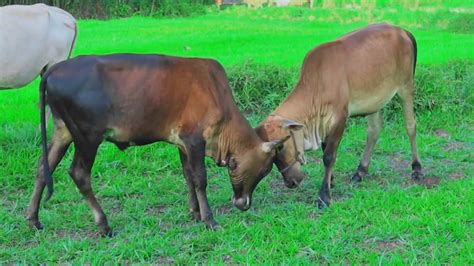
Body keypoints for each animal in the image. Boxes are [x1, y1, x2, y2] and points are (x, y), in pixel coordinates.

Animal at [27, 53, 286, 235]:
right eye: (265, 170)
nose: (244, 204)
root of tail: (55, 68)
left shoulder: (182, 144)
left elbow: (188, 176)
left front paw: (194, 212)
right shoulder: (195, 140)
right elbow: (200, 179)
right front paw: (209, 220)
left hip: (63, 132)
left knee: (43, 168)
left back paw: (33, 219)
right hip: (87, 137)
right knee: (79, 174)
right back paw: (104, 225)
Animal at [258, 23, 424, 208]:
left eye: (280, 147)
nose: (290, 182)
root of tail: (401, 30)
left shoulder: (340, 118)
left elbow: (329, 156)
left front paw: (324, 196)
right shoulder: (324, 124)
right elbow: (325, 149)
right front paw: (331, 181)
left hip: (406, 87)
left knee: (411, 126)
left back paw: (417, 168)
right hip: (375, 99)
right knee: (374, 130)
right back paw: (360, 171)